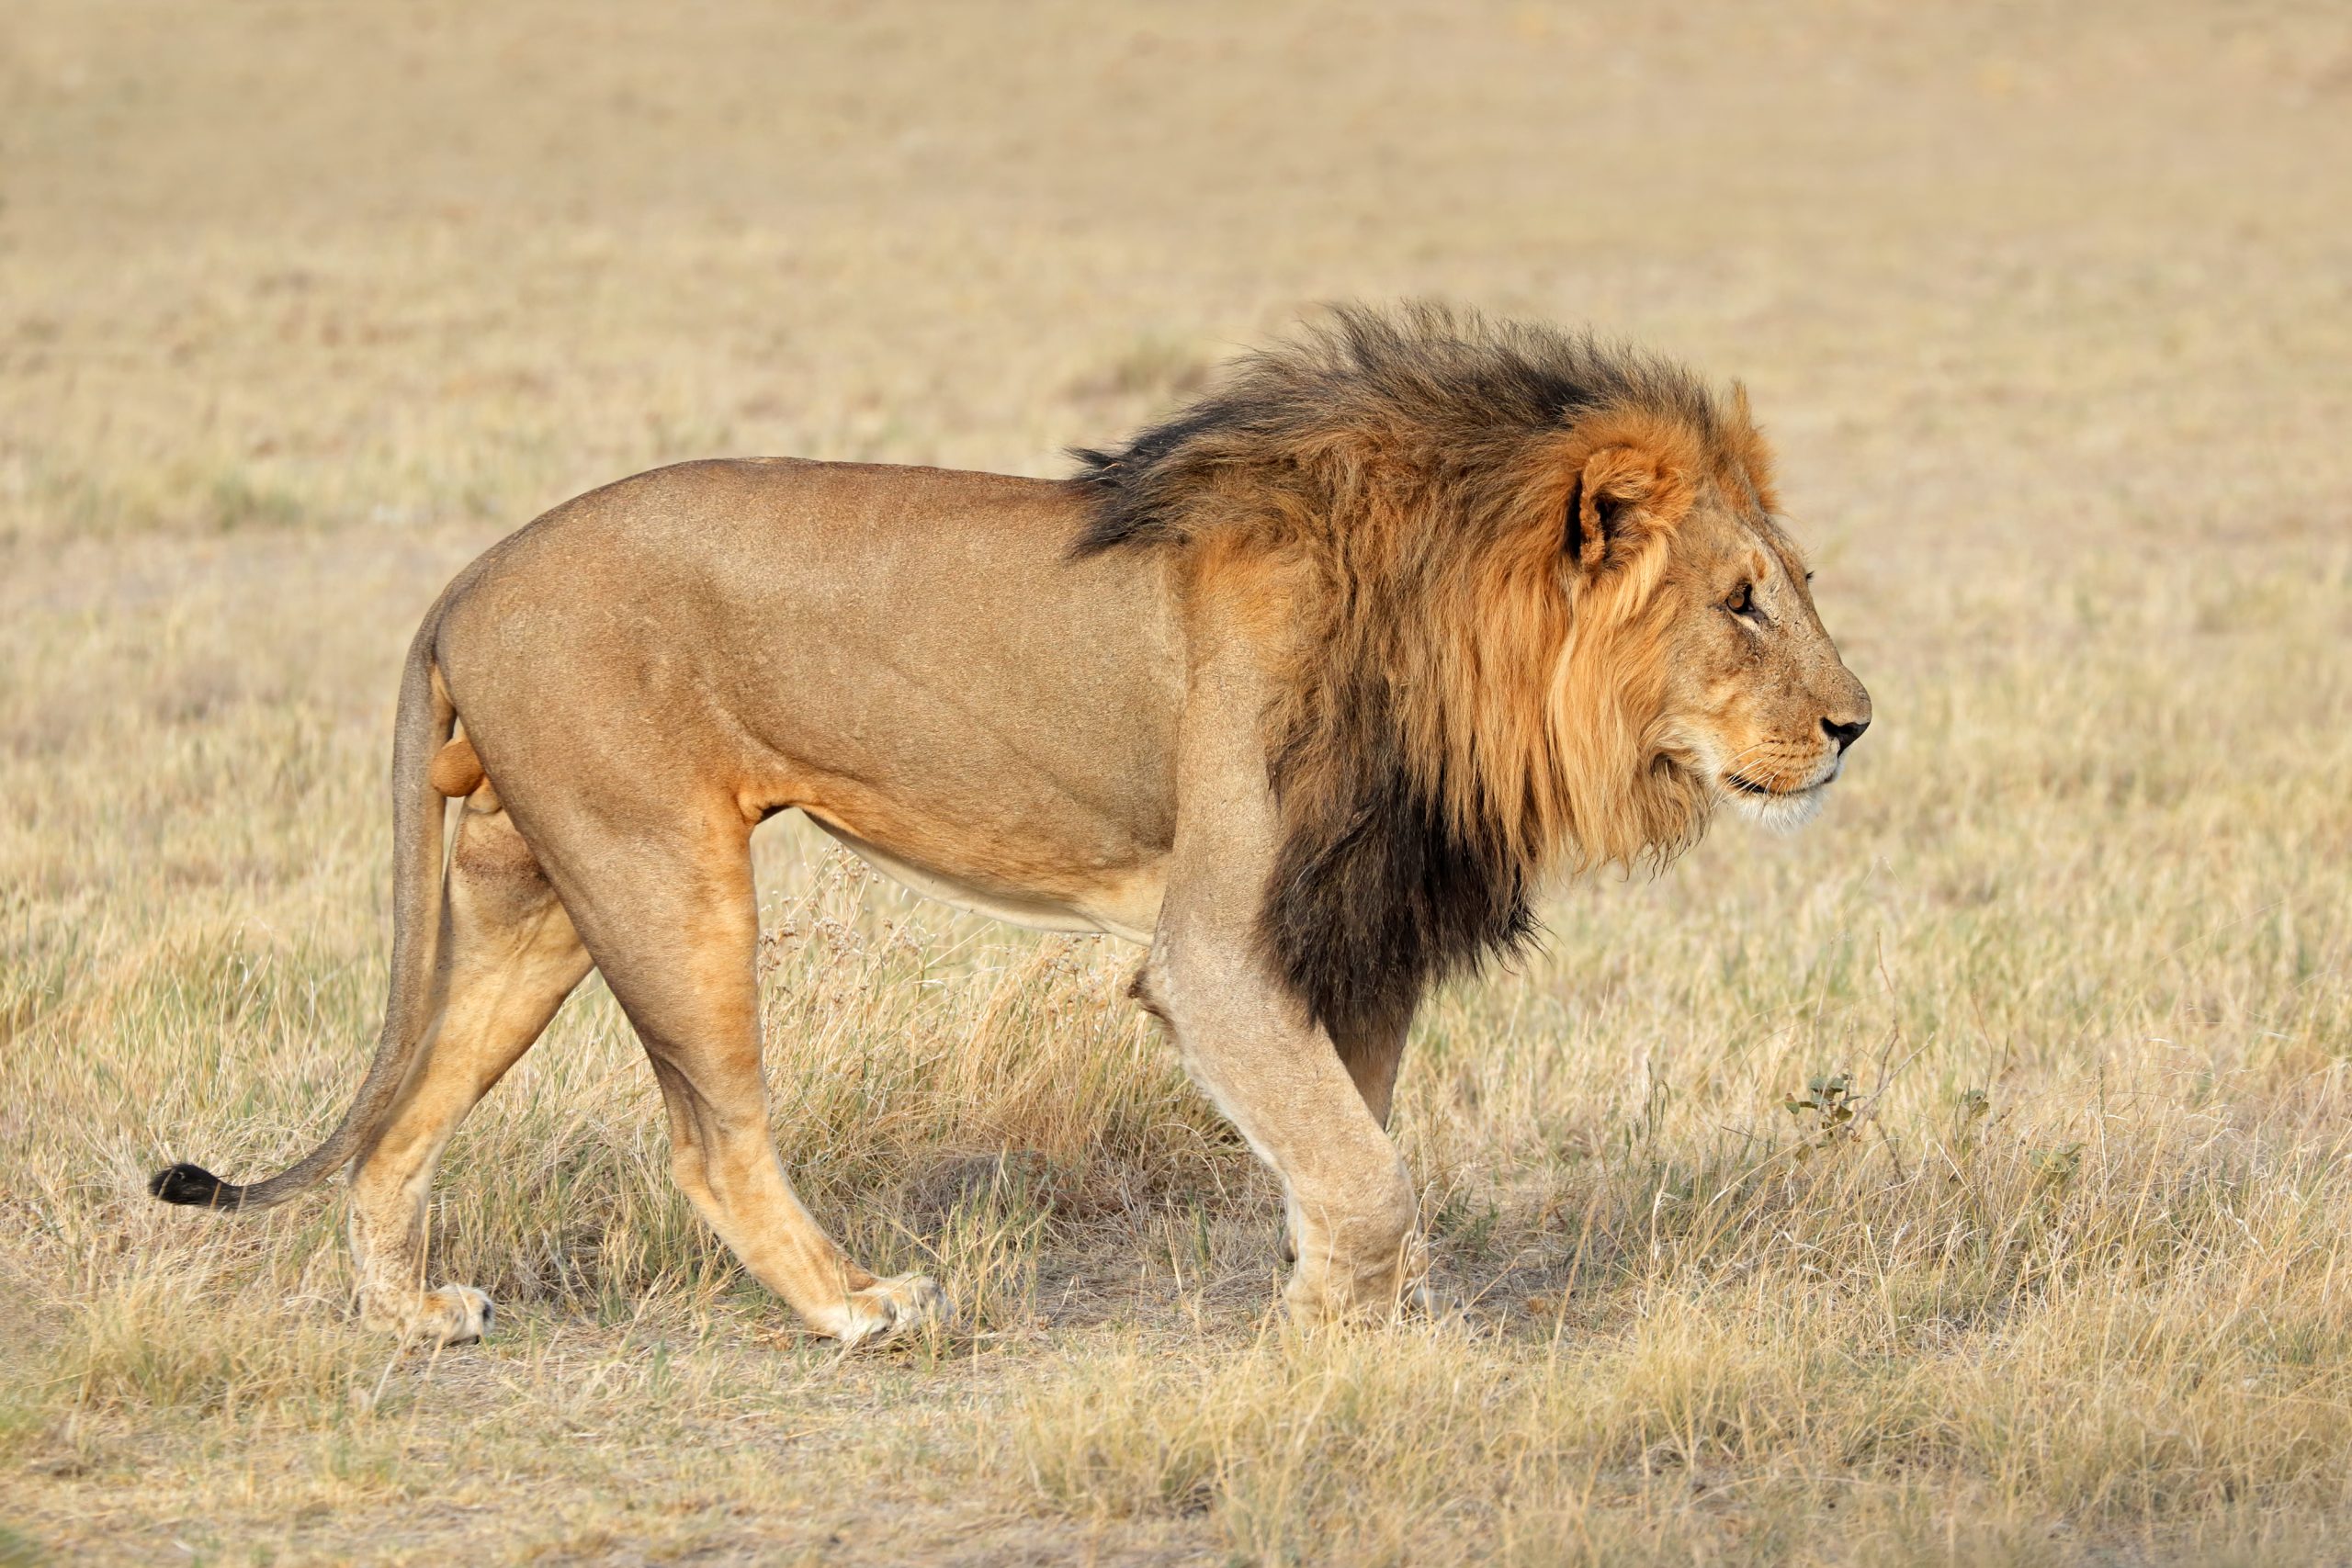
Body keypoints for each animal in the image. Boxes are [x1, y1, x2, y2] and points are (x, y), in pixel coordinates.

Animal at [150, 304, 1870, 1348]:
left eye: (1795, 587)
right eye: (1740, 604)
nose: (1858, 725)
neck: (1448, 636)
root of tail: (466, 573)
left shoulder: (1354, 935)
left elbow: (1351, 1147)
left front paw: (1340, 1319)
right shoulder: (1218, 948)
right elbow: (1368, 1168)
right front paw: (1318, 1341)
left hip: (535, 895)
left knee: (403, 1117)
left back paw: (413, 1311)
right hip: (660, 872)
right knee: (710, 1134)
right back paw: (857, 1307)